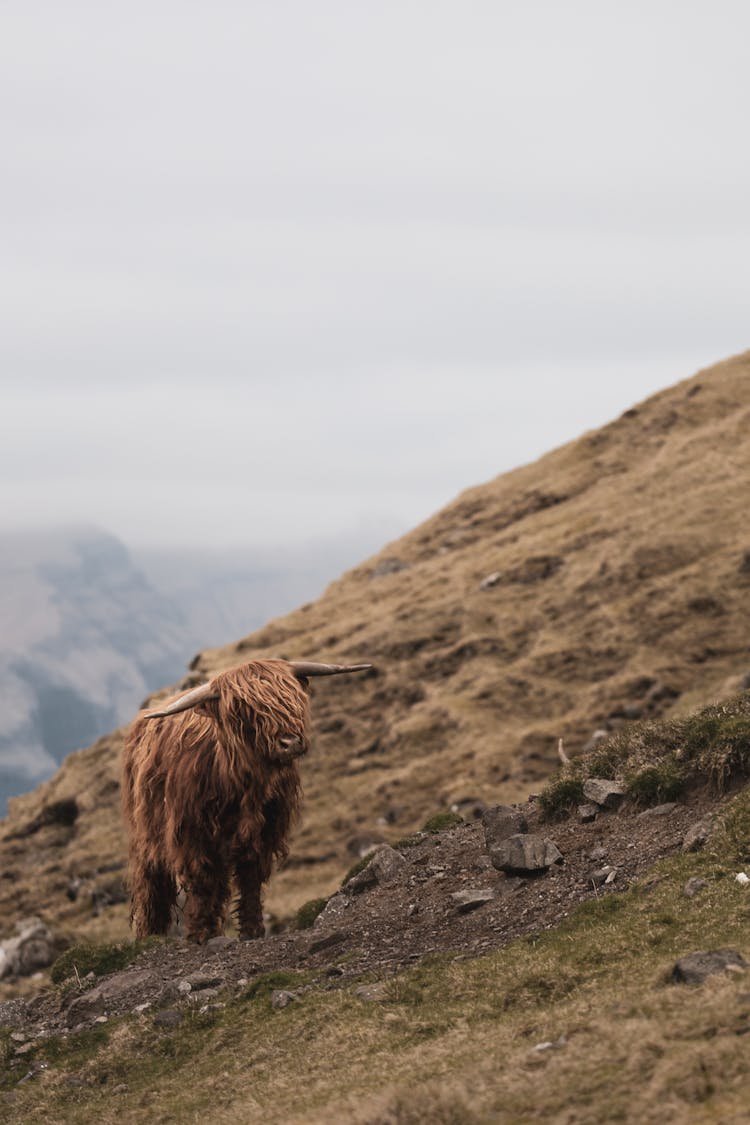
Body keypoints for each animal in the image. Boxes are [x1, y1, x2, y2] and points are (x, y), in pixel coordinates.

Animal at [123, 657, 373, 945]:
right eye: (244, 710)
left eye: (292, 698)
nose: (291, 742)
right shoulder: (192, 837)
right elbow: (201, 885)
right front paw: (199, 935)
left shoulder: (263, 833)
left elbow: (250, 881)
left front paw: (252, 931)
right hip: (146, 839)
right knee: (153, 890)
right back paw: (150, 937)